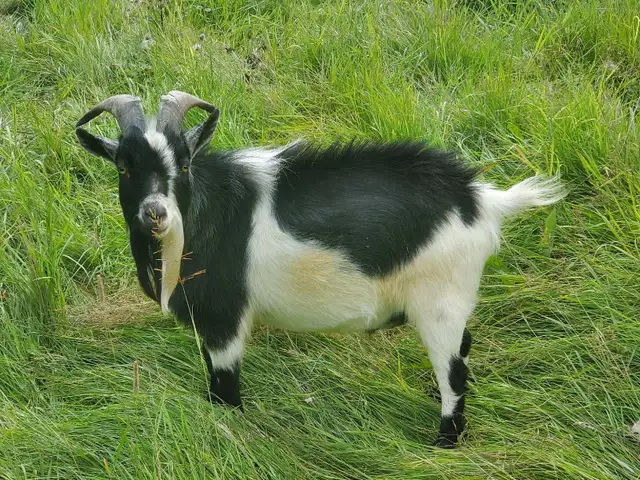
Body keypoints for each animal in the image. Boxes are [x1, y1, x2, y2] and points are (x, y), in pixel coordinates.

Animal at [75, 91, 566, 448]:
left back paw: (443, 443)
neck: (204, 214)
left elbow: (224, 388)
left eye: (184, 163)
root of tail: (482, 201)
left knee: (453, 371)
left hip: (440, 300)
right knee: (461, 351)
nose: (156, 214)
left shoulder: (225, 319)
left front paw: (228, 433)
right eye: (123, 166)